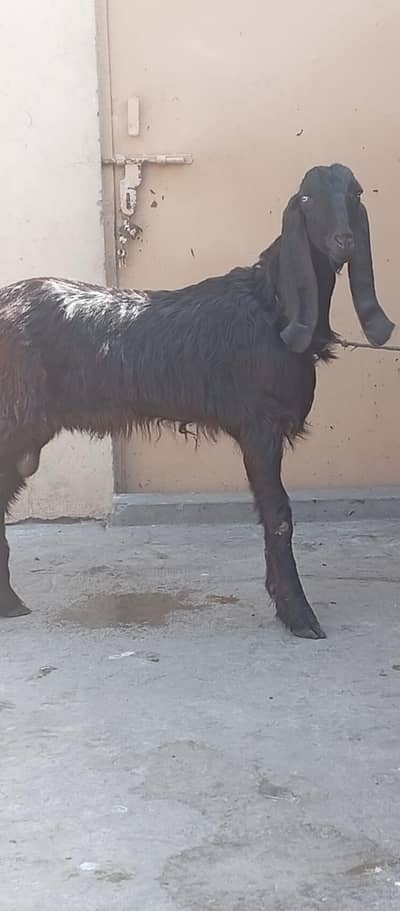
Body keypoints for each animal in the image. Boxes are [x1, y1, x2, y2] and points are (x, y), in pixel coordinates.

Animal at [0, 163, 394, 637]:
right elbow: (279, 514)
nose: (343, 240)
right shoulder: (259, 425)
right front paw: (299, 615)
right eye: (307, 198)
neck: (272, 306)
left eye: (355, 194)